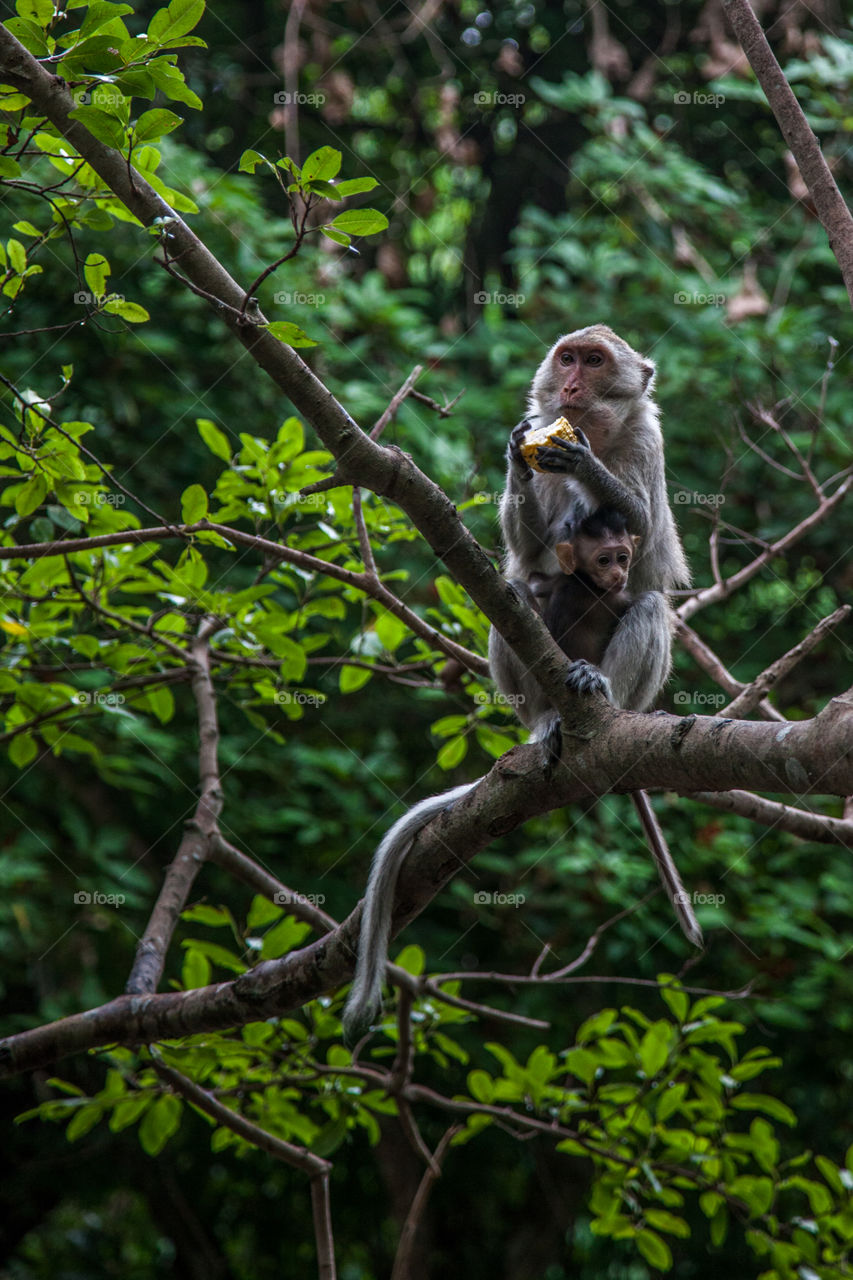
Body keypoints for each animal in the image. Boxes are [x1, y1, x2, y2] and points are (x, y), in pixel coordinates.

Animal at [342, 327, 695, 1044]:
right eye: (568, 357)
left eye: (595, 361)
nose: (571, 384)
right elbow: (528, 552)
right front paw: (520, 459)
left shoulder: (648, 441)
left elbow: (643, 529)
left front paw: (584, 466)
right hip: (526, 689)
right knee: (518, 591)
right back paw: (549, 719)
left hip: (633, 695)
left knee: (647, 605)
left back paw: (599, 694)